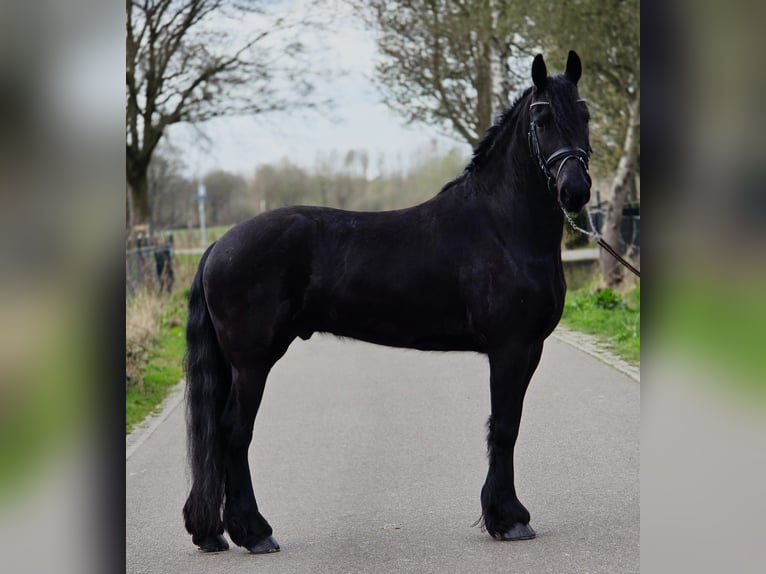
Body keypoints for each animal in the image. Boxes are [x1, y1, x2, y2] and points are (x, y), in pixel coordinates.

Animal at [182, 50, 592, 554]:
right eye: (542, 117)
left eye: (585, 115)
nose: (575, 190)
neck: (502, 226)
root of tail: (218, 245)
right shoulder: (510, 348)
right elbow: (505, 427)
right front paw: (509, 519)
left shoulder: (528, 350)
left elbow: (505, 426)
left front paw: (503, 514)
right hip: (251, 362)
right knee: (234, 434)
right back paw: (255, 532)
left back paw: (214, 531)